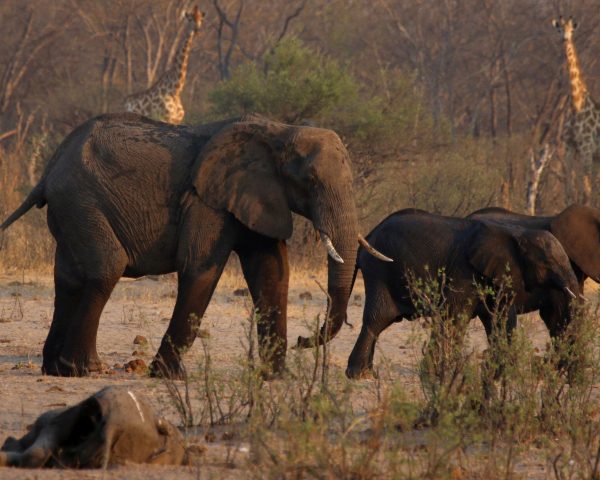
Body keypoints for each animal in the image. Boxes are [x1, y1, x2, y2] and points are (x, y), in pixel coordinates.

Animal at [0, 112, 386, 378]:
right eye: (310, 180)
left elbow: (272, 273)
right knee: (105, 268)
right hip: (81, 201)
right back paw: (86, 370)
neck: (278, 130)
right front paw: (168, 376)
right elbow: (201, 269)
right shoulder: (207, 201)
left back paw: (55, 369)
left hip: (70, 209)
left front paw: (275, 378)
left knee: (67, 278)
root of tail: (48, 171)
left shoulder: (256, 196)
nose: (305, 340)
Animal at [344, 209, 580, 378]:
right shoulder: (464, 271)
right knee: (378, 318)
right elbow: (455, 317)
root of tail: (367, 235)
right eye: (548, 263)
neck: (515, 233)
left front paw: (499, 374)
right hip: (379, 269)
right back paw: (359, 376)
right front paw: (440, 374)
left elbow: (499, 319)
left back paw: (366, 373)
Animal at [552, 15, 600, 204]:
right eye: (559, 29)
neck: (576, 105)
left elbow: (587, 192)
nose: (565, 39)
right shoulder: (570, 148)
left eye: (572, 30)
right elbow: (570, 190)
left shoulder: (586, 148)